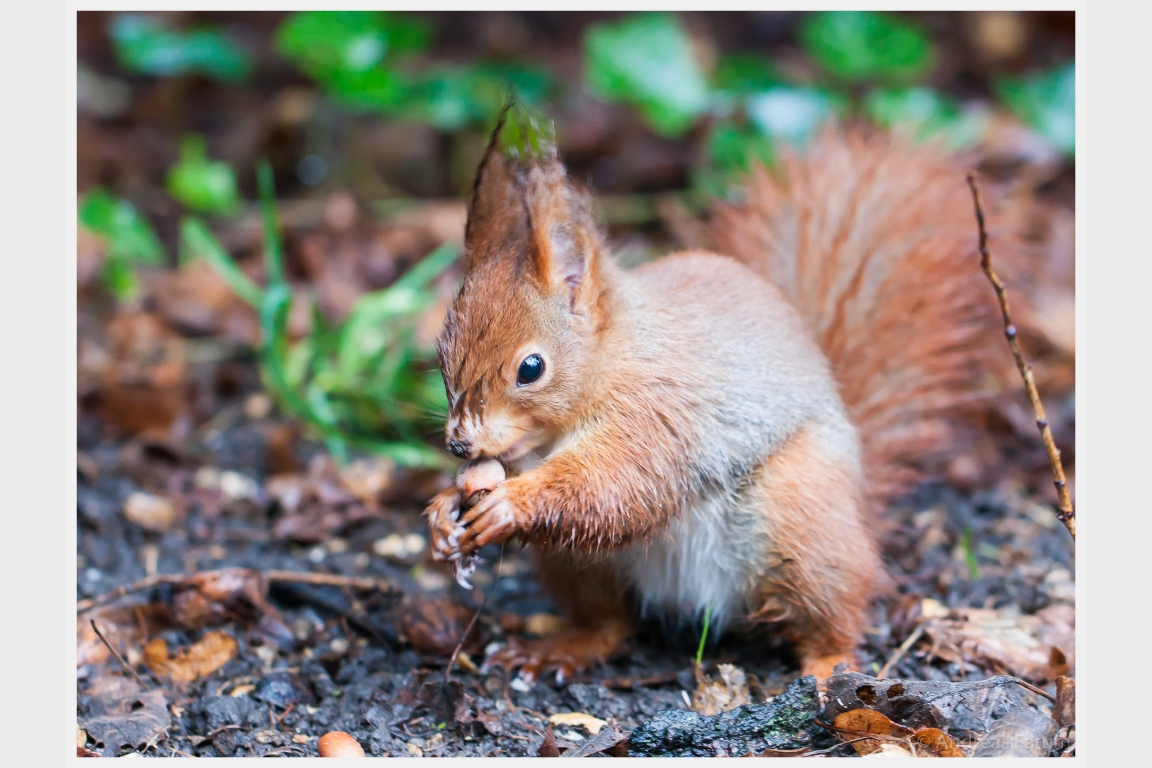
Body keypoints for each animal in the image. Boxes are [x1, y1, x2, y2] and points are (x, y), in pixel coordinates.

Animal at [424, 108, 1005, 684]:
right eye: (441, 352)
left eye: (531, 368)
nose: (459, 445)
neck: (612, 363)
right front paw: (443, 510)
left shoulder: (658, 414)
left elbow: (615, 484)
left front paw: (510, 503)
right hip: (577, 567)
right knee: (609, 621)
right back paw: (563, 647)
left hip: (803, 522)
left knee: (834, 614)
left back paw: (828, 667)